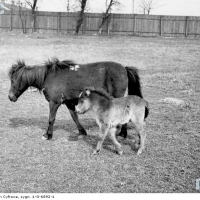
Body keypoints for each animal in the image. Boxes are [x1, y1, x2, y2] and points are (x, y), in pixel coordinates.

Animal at [8, 57, 142, 139]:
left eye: (13, 80)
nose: (10, 97)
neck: (48, 77)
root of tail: (124, 68)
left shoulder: (54, 102)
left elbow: (51, 119)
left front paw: (48, 135)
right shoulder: (69, 102)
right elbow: (74, 117)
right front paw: (82, 132)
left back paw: (122, 133)